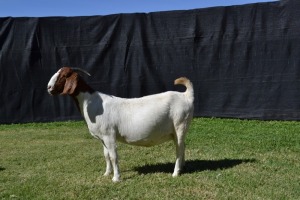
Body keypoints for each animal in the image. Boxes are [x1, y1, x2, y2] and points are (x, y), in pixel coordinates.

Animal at [45, 66, 193, 182]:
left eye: (64, 75)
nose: (49, 88)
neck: (92, 103)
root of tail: (187, 96)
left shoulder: (109, 135)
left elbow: (113, 156)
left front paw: (116, 178)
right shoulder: (103, 138)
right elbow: (106, 155)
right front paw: (106, 173)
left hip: (180, 125)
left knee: (179, 149)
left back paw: (175, 173)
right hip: (176, 131)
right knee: (183, 146)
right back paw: (183, 167)